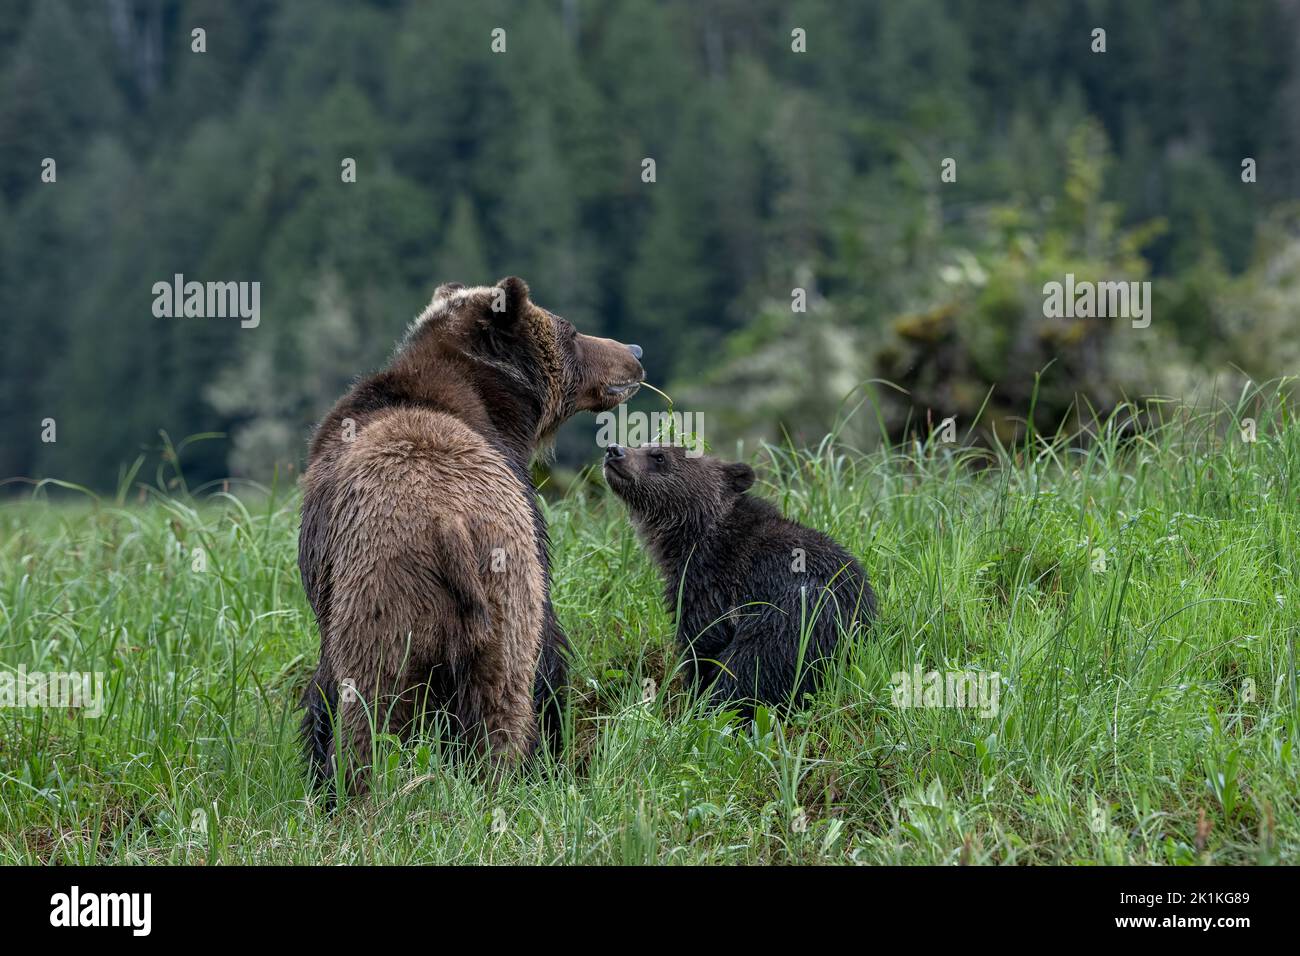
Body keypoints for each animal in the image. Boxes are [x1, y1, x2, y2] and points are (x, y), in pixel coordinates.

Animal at [296, 274, 639, 790]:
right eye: (573, 332)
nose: (634, 350)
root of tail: (450, 524)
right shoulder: (530, 523)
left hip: (424, 598)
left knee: (399, 707)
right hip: (463, 596)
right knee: (482, 704)